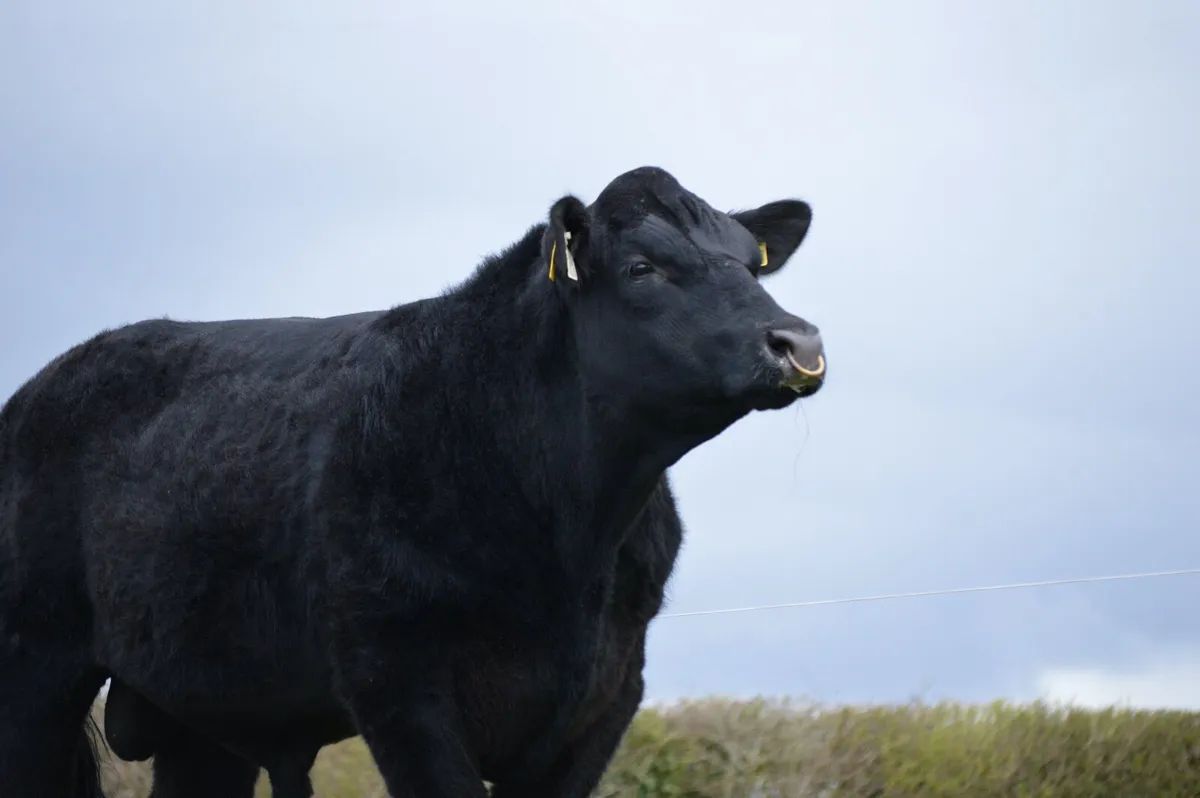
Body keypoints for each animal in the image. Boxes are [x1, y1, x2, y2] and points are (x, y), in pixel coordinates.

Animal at [0, 164, 825, 792]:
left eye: (752, 263)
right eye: (642, 268)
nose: (798, 340)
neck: (569, 548)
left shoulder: (607, 694)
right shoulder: (399, 680)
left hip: (198, 712)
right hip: (33, 667)